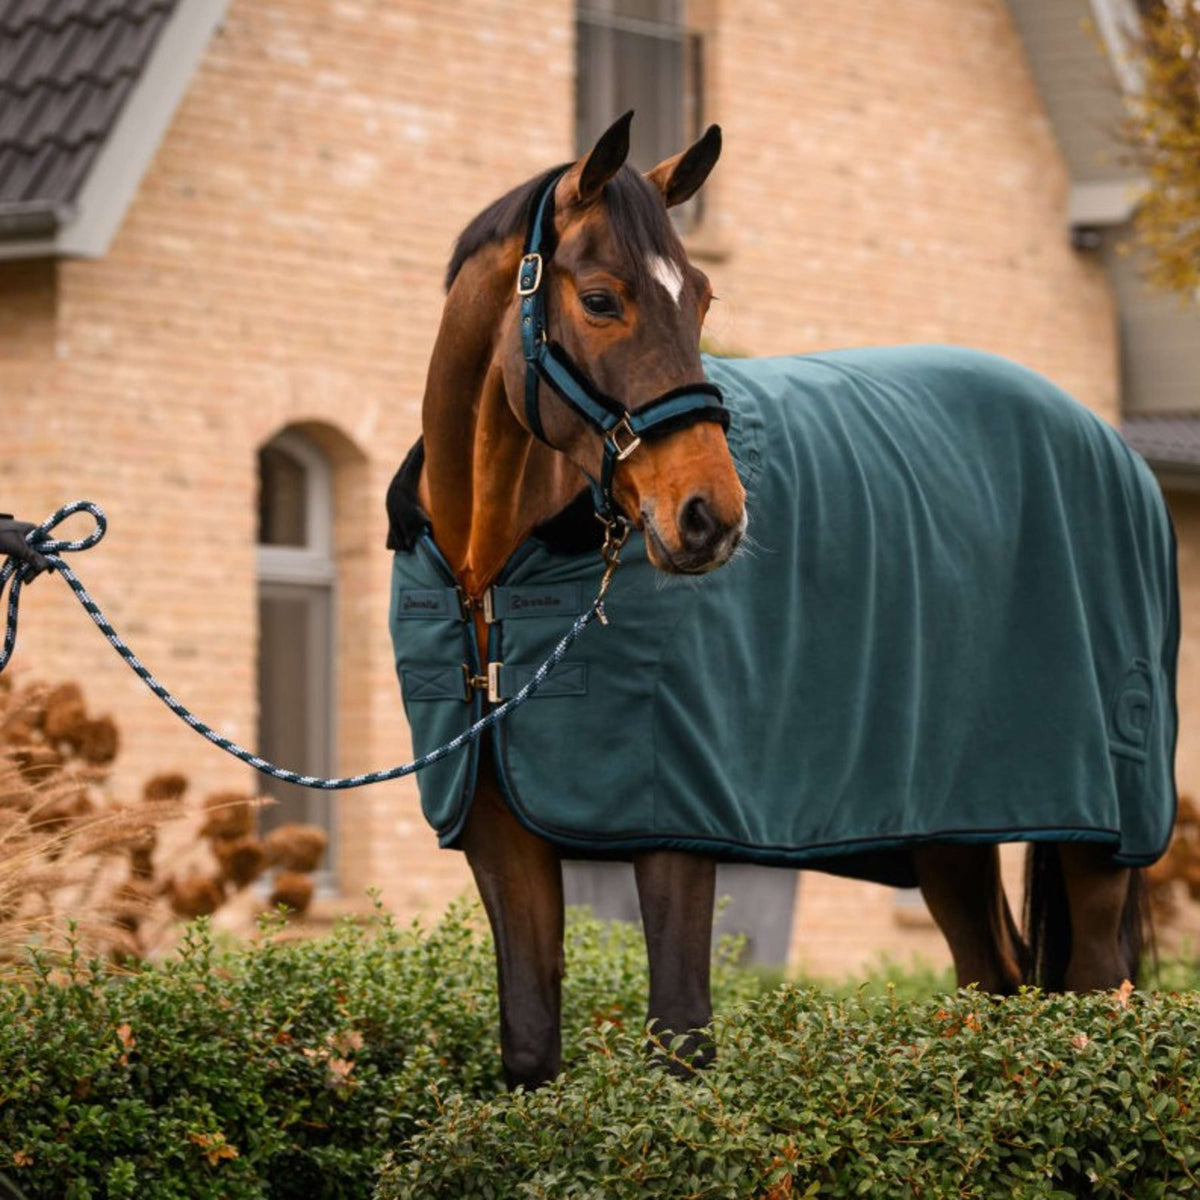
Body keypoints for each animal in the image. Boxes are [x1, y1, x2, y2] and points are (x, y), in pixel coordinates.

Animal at [386, 112, 1177, 1090]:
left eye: (702, 299)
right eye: (602, 300)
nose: (710, 517)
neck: (493, 582)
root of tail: (1117, 450)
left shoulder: (677, 825)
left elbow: (681, 1038)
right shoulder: (500, 834)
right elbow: (532, 1048)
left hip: (1103, 833)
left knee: (1099, 989)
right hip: (950, 834)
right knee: (990, 979)